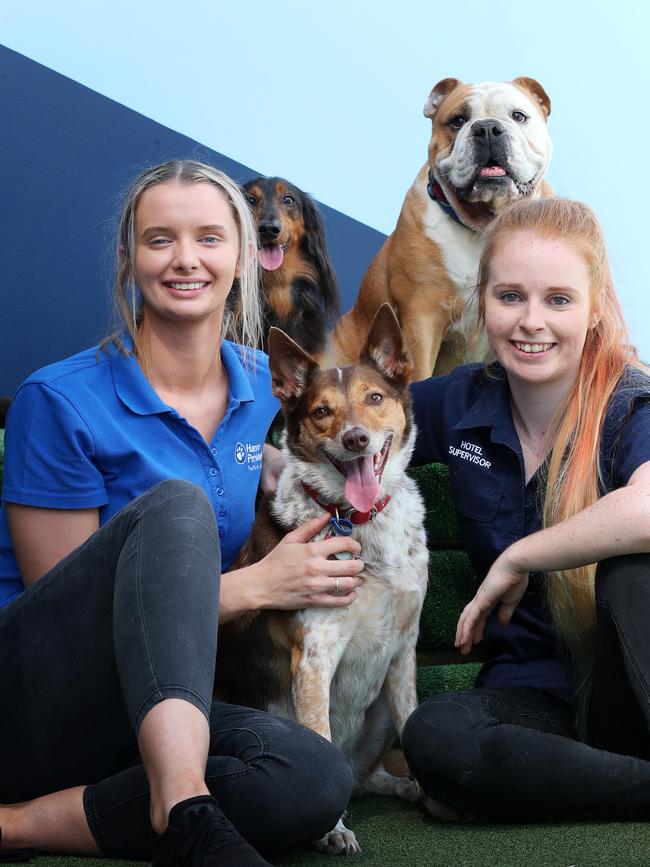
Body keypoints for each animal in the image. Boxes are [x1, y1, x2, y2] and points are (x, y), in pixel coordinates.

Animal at [215, 306, 428, 856]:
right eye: (320, 412)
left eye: (375, 398)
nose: (355, 438)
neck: (359, 522)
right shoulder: (313, 659)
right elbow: (319, 738)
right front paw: (332, 831)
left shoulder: (404, 647)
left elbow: (415, 722)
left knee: (368, 776)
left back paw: (405, 786)